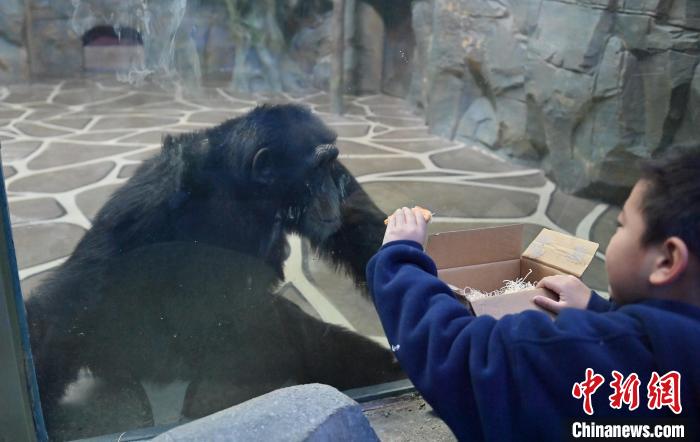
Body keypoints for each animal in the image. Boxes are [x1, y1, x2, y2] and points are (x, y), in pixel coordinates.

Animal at [26, 102, 404, 436]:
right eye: (316, 169)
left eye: (331, 164)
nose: (330, 190)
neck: (241, 189)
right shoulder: (148, 200)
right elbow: (79, 293)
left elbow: (360, 225)